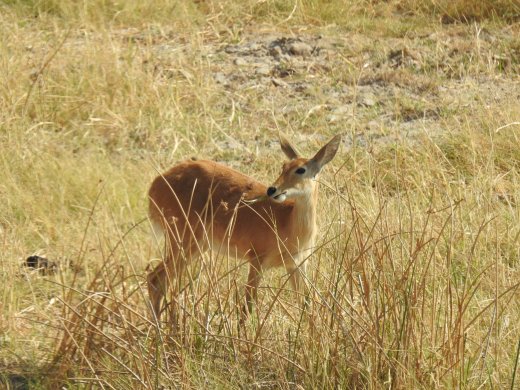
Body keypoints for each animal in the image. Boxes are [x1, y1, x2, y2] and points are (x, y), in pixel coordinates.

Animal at [146, 134, 342, 320]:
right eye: (283, 166)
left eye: (301, 169)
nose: (272, 190)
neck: (288, 222)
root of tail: (157, 183)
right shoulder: (256, 260)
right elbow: (248, 307)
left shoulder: (297, 265)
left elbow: (307, 305)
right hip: (184, 243)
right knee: (155, 279)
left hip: (197, 247)